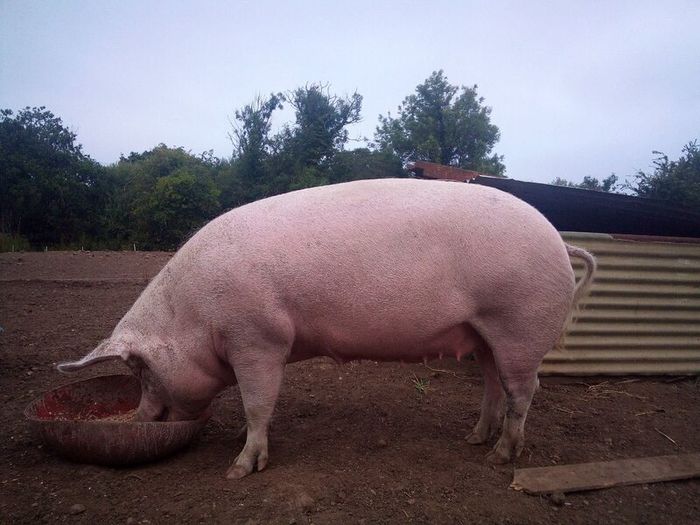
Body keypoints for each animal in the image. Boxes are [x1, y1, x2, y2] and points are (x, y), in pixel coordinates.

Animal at [58, 178, 596, 479]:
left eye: (141, 371)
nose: (140, 418)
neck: (193, 315)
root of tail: (559, 241)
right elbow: (256, 406)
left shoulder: (259, 338)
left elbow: (257, 403)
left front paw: (237, 471)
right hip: (483, 332)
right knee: (492, 384)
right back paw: (474, 440)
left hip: (518, 326)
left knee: (524, 390)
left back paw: (498, 459)